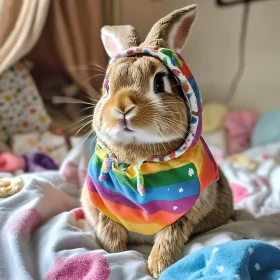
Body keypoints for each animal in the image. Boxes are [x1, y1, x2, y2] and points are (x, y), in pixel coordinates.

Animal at [80, 4, 233, 278]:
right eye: (107, 88)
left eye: (160, 83)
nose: (123, 107)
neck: (137, 158)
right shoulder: (100, 207)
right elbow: (110, 236)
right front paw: (117, 256)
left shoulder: (182, 214)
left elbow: (169, 238)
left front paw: (157, 268)